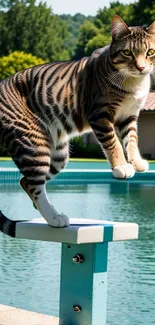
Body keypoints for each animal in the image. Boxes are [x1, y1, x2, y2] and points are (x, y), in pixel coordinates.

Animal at [0, 14, 155, 233]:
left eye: (150, 52)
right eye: (127, 52)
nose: (142, 68)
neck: (133, 82)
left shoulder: (129, 117)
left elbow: (131, 140)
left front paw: (137, 161)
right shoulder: (99, 113)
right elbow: (113, 143)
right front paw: (121, 166)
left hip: (58, 155)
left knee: (25, 181)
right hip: (34, 145)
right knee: (33, 184)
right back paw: (54, 218)